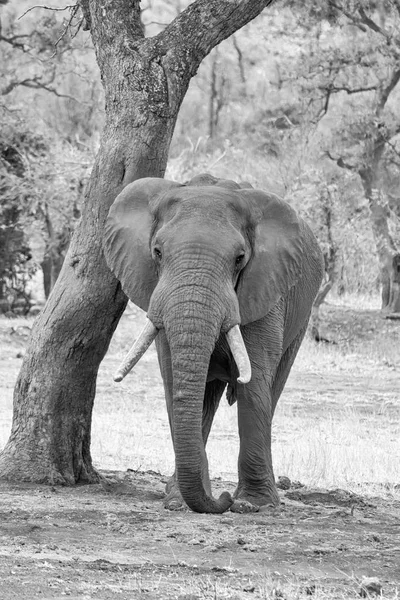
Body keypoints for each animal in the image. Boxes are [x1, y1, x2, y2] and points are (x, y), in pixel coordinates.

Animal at [103, 173, 324, 516]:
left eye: (240, 259)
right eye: (157, 252)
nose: (224, 498)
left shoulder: (265, 290)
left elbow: (254, 382)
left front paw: (252, 504)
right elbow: (173, 379)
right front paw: (179, 502)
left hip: (301, 315)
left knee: (272, 387)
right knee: (205, 398)